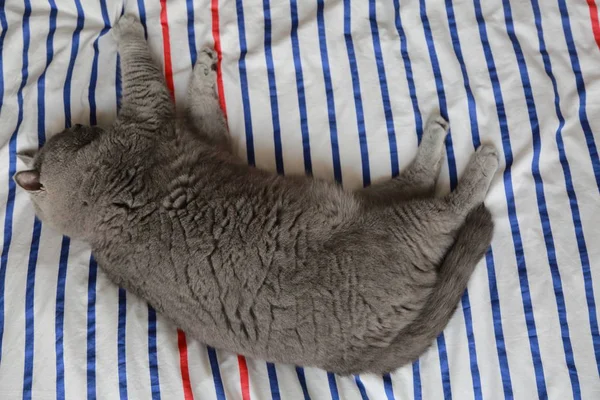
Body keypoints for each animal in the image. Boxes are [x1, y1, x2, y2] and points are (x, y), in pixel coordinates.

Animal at [14, 14, 496, 374]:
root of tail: (360, 358)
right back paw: (481, 160)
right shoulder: (149, 109)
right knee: (448, 210)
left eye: (74, 127)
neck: (96, 210)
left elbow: (204, 104)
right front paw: (128, 25)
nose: (84, 124)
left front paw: (204, 64)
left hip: (368, 199)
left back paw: (436, 133)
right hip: (396, 228)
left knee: (416, 180)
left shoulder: (206, 139)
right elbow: (139, 62)